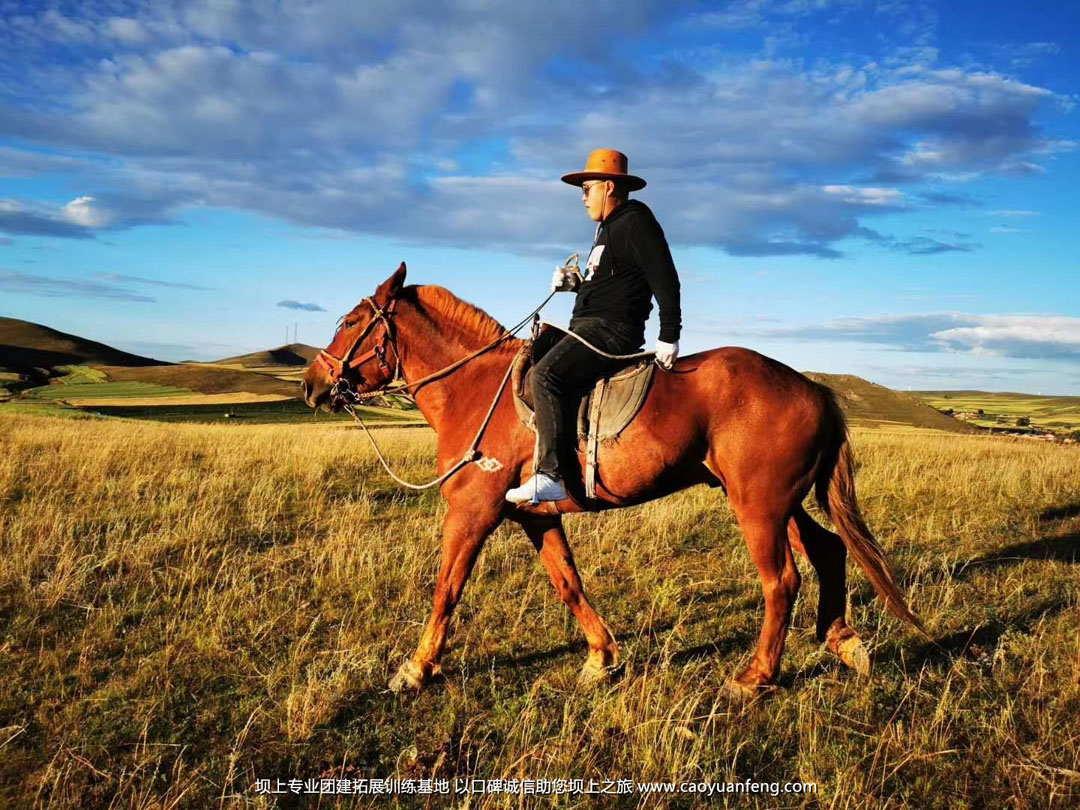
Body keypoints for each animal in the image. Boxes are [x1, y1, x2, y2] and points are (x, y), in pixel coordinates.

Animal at [300, 266, 924, 699]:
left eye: (350, 323)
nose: (311, 385)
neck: (474, 388)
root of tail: (812, 387)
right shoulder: (535, 516)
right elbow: (569, 584)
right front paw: (601, 657)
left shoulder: (474, 511)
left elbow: (446, 589)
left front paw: (416, 668)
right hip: (777, 502)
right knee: (829, 549)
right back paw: (843, 641)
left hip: (760, 508)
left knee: (782, 581)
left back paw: (756, 676)